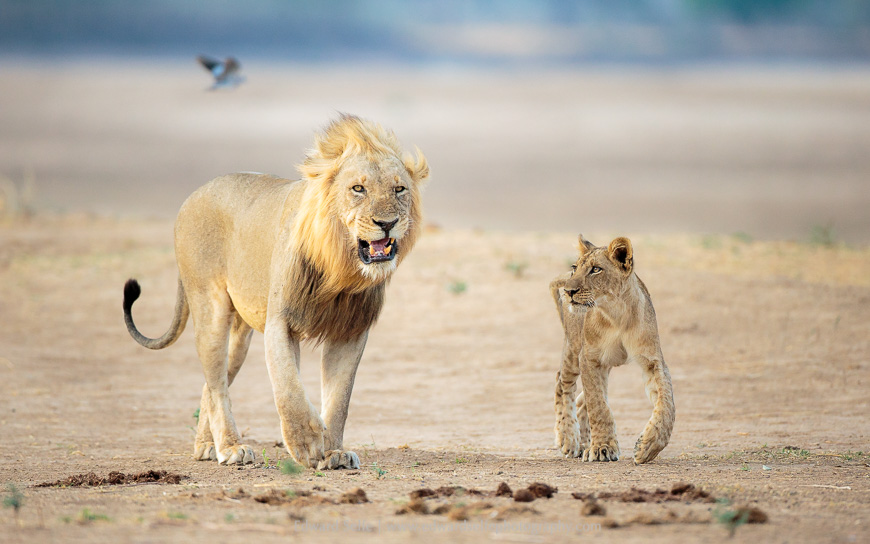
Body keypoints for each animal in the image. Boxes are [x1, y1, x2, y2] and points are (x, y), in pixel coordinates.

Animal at [122, 114, 429, 469]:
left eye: (399, 189)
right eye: (358, 189)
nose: (387, 223)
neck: (341, 268)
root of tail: (193, 195)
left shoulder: (350, 331)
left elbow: (339, 397)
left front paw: (334, 452)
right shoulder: (280, 323)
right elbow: (288, 386)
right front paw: (307, 443)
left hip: (239, 337)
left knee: (214, 384)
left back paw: (206, 446)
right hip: (210, 309)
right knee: (216, 382)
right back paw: (230, 447)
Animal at [550, 235, 675, 464]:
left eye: (596, 269)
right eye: (575, 268)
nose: (569, 291)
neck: (617, 314)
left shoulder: (653, 360)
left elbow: (667, 404)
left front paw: (648, 447)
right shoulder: (589, 358)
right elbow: (599, 406)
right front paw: (602, 448)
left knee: (581, 400)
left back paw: (583, 444)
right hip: (573, 349)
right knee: (562, 384)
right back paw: (568, 439)